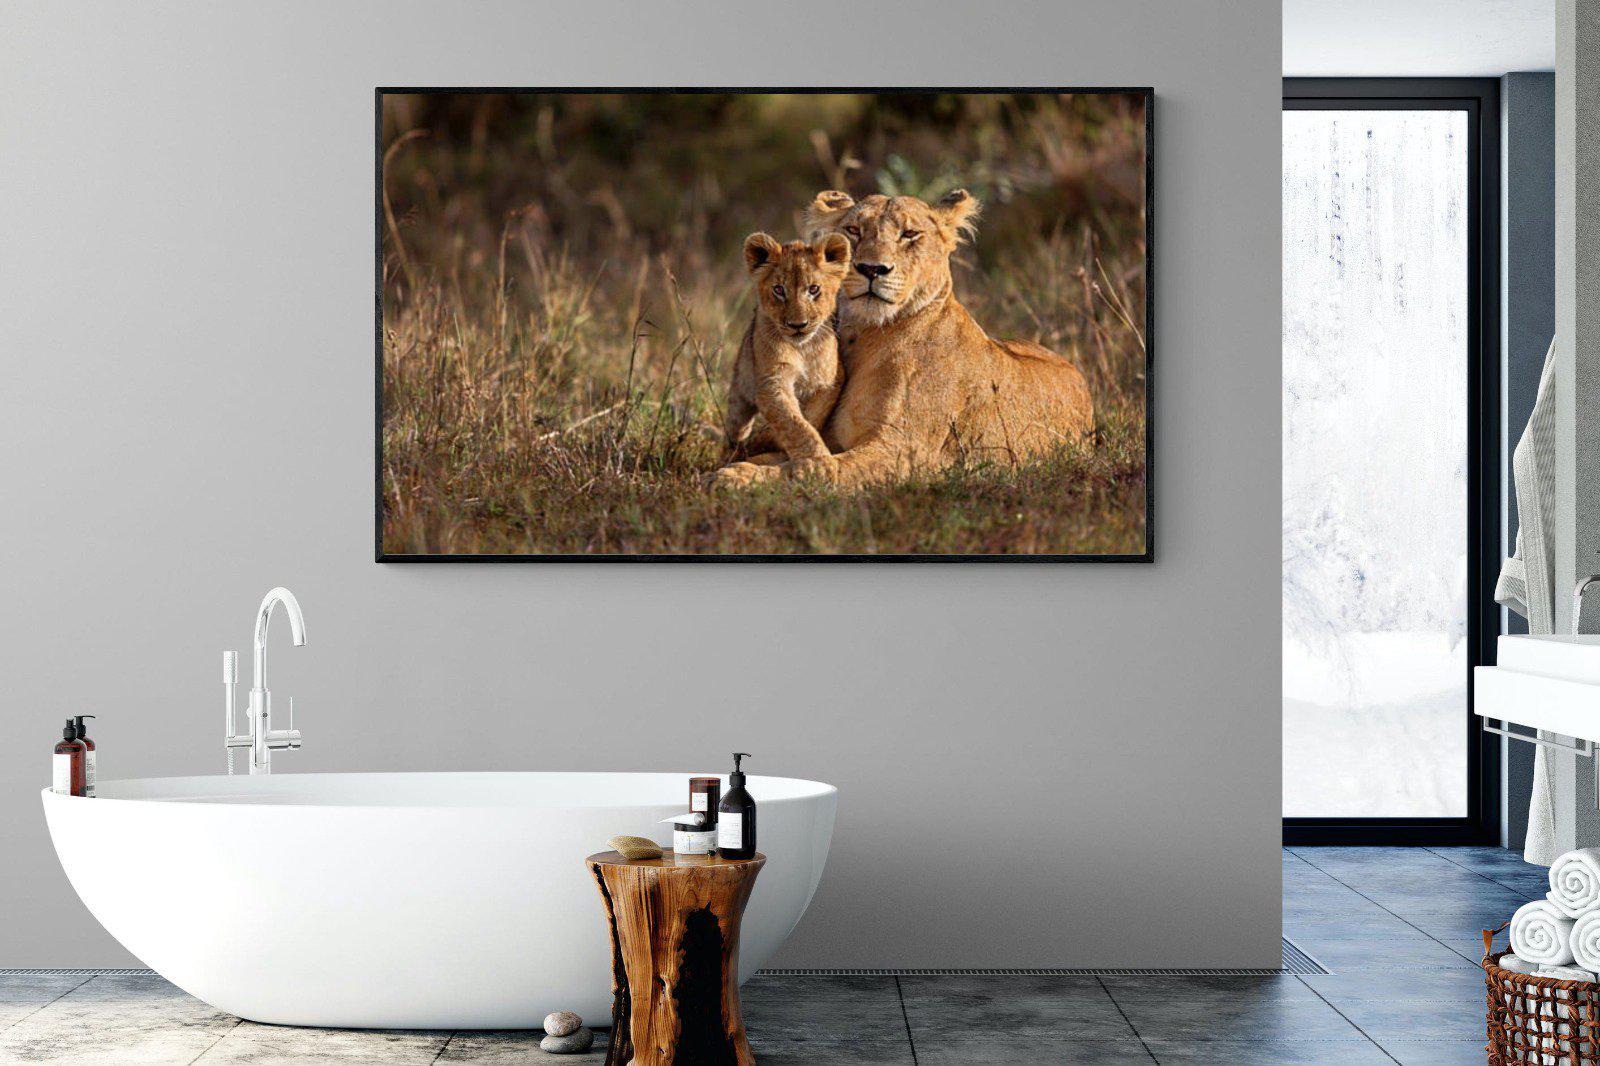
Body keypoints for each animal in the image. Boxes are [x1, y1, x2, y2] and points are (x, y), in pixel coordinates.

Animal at [723, 231, 851, 463]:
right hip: (740, 392)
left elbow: (810, 416)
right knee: (734, 430)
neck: (802, 349)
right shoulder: (772, 381)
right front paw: (818, 461)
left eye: (813, 289)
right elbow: (793, 423)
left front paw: (771, 439)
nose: (798, 325)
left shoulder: (831, 380)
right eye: (779, 290)